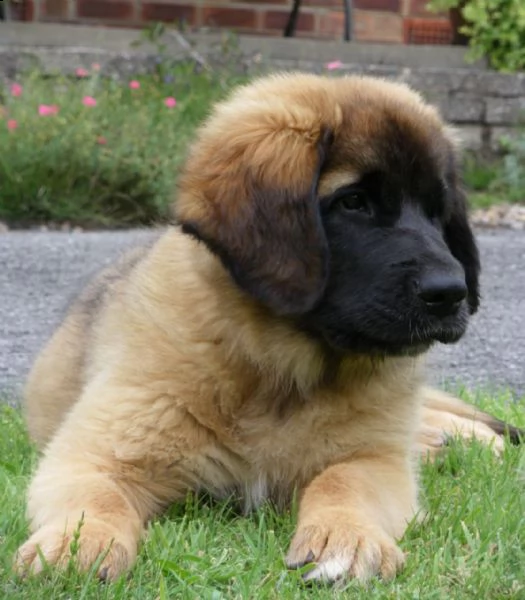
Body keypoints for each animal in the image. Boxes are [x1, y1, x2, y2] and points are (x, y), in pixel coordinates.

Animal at [13, 72, 520, 584]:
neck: (279, 372)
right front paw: (78, 543)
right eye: (353, 202)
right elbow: (97, 497)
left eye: (438, 212)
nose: (452, 293)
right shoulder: (94, 454)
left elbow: (342, 481)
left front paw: (347, 537)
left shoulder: (375, 460)